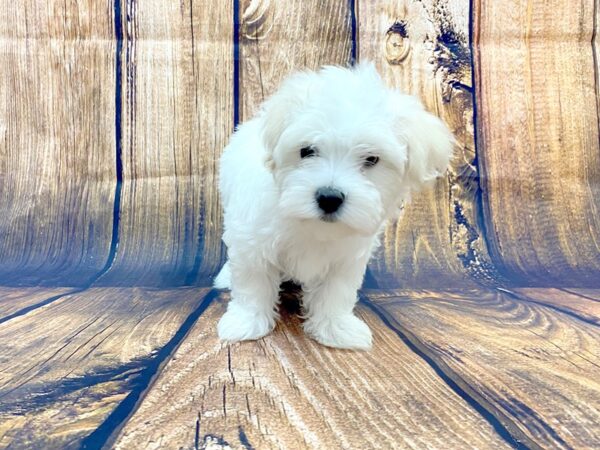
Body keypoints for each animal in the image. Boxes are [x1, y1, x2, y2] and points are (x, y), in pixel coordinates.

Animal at [213, 63, 452, 350]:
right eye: (307, 151)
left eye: (372, 159)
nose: (329, 197)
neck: (312, 227)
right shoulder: (252, 241)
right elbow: (252, 283)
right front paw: (246, 322)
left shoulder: (347, 258)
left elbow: (335, 292)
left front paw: (336, 328)